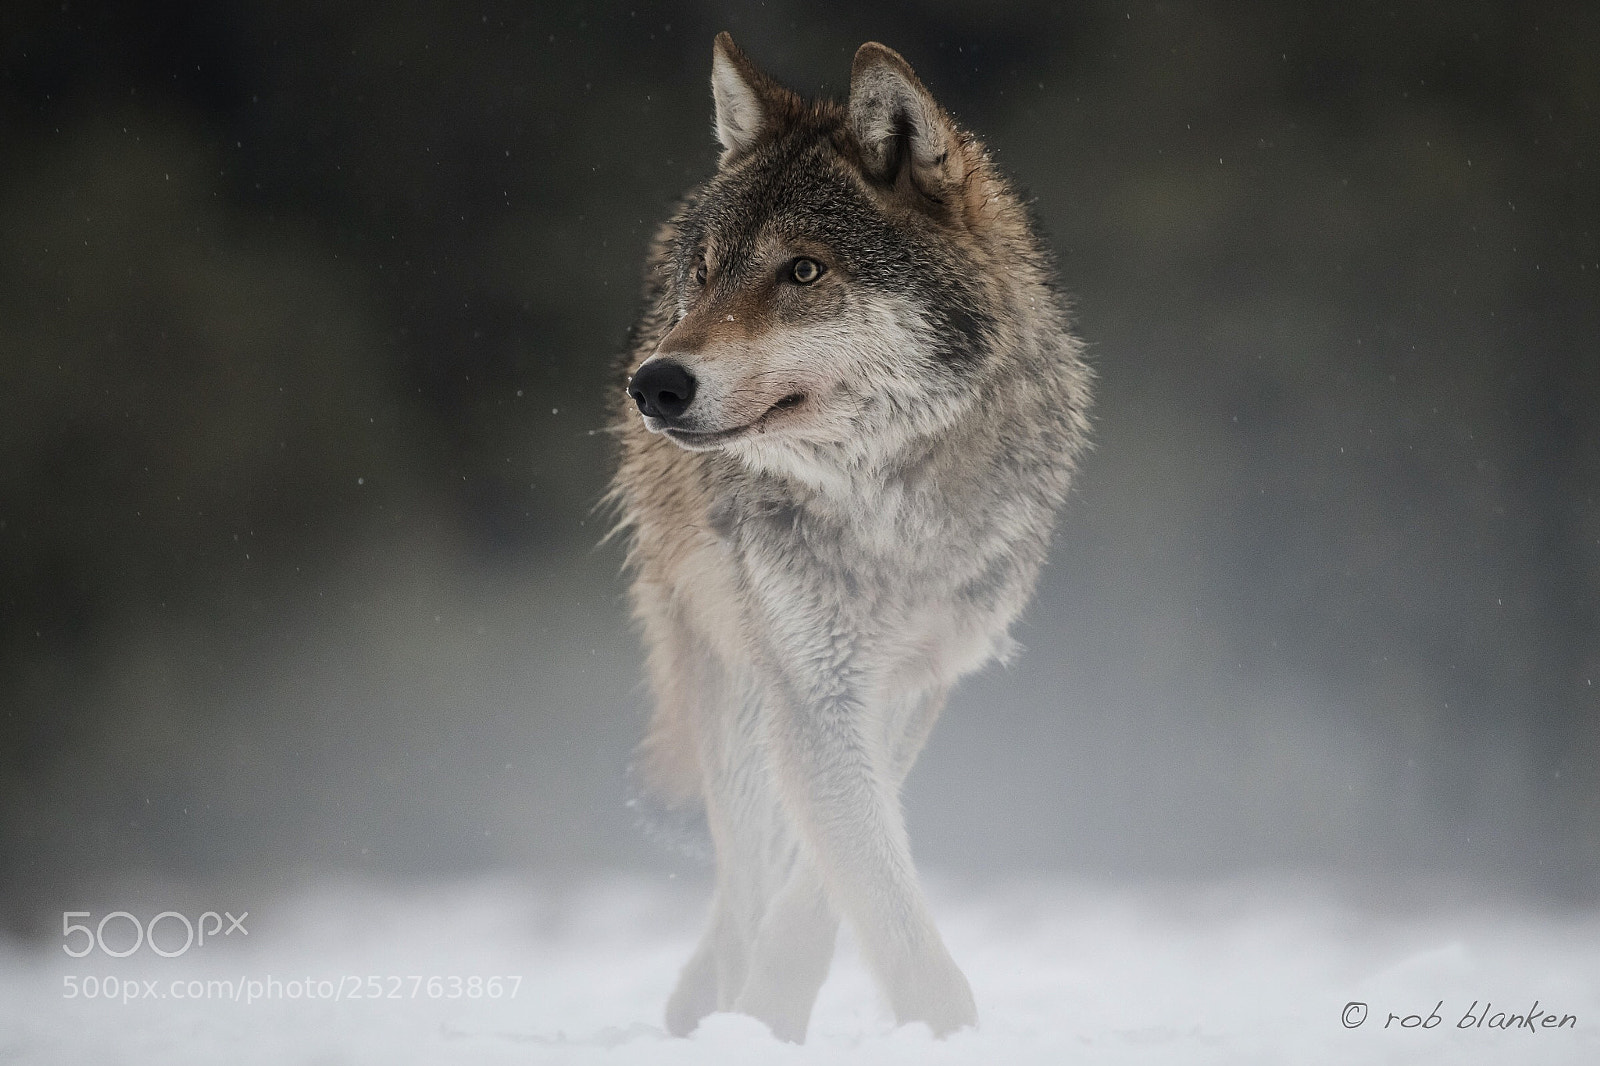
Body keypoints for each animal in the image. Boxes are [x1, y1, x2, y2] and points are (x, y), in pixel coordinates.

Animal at [608, 33, 1092, 1042]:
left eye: (803, 271)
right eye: (708, 272)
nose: (655, 385)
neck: (891, 503)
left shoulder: (911, 682)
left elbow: (839, 885)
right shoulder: (812, 683)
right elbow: (861, 887)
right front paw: (768, 1027)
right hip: (724, 667)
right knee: (742, 875)